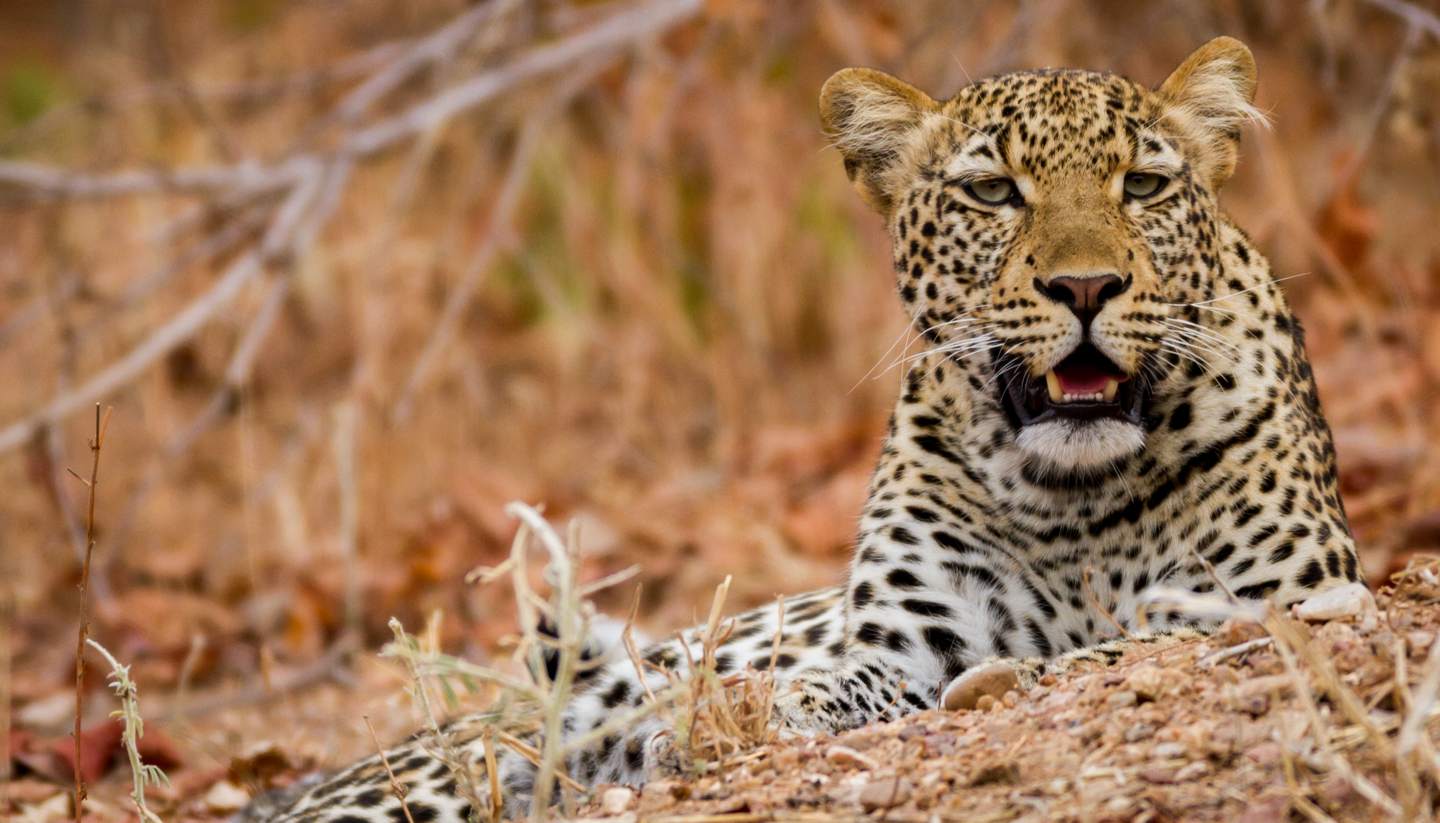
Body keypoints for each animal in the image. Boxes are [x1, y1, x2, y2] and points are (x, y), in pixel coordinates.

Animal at [247, 35, 1359, 817]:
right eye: (993, 191)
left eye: (1145, 184)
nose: (1086, 286)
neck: (1074, 496)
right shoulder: (910, 639)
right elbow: (842, 682)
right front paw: (739, 709)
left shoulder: (1287, 591)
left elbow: (1140, 636)